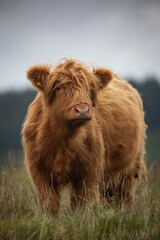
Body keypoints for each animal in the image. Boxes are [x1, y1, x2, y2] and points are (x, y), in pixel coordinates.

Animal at [21, 58, 147, 214]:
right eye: (58, 88)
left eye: (89, 88)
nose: (82, 110)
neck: (62, 139)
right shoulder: (39, 171)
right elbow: (50, 203)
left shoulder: (88, 172)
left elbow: (80, 203)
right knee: (109, 197)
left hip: (130, 167)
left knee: (124, 196)